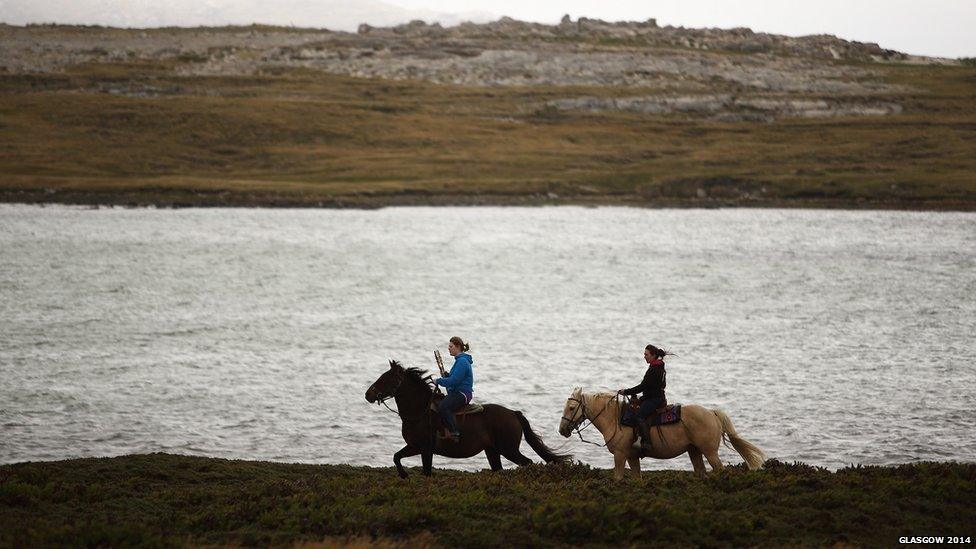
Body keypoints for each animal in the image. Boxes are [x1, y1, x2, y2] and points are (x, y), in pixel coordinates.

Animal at [364, 360, 572, 476]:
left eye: (386, 378)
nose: (368, 394)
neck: (419, 412)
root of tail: (513, 413)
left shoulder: (425, 448)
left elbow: (426, 472)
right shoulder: (414, 446)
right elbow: (396, 457)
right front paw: (403, 475)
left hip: (509, 450)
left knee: (527, 463)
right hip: (492, 451)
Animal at [560, 386, 768, 480]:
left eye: (571, 408)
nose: (562, 430)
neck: (617, 419)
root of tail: (711, 412)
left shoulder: (620, 455)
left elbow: (618, 477)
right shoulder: (632, 456)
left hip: (709, 452)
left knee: (719, 468)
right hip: (694, 451)